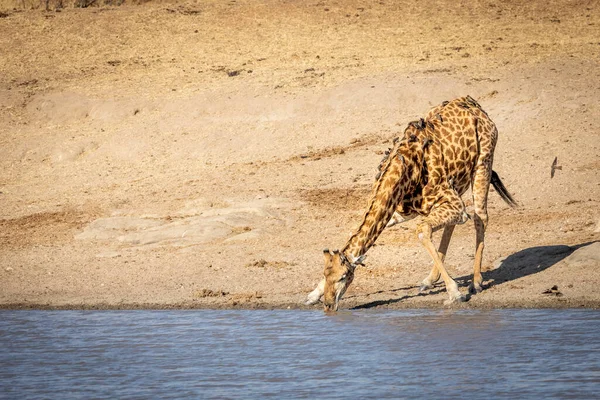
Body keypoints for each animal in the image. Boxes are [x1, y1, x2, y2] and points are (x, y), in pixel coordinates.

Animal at [308, 97, 516, 312]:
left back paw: (475, 282)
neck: (402, 172)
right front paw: (312, 295)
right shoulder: (399, 211)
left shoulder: (452, 203)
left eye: (343, 277)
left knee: (480, 216)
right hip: (458, 184)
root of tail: (475, 105)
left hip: (483, 163)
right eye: (325, 274)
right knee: (456, 222)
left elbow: (422, 230)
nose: (328, 305)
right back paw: (430, 280)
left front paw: (455, 292)